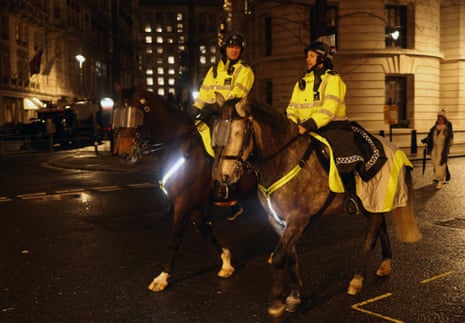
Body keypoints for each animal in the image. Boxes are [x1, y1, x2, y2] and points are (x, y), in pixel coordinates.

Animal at [113, 88, 258, 294]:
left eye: (135, 115)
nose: (123, 154)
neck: (181, 148)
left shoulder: (184, 203)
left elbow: (175, 239)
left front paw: (163, 277)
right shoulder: (194, 206)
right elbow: (207, 231)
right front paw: (226, 263)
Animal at [210, 96, 420, 318]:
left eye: (237, 132)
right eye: (217, 131)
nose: (221, 175)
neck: (284, 160)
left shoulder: (298, 219)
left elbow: (278, 257)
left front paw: (276, 302)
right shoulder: (277, 220)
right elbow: (290, 256)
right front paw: (294, 296)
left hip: (375, 201)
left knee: (370, 239)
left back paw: (357, 279)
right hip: (371, 204)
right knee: (382, 229)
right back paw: (385, 264)